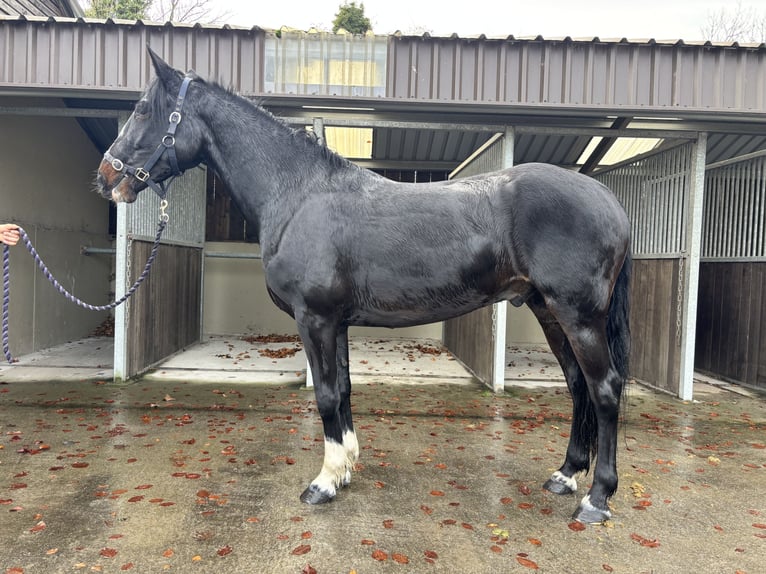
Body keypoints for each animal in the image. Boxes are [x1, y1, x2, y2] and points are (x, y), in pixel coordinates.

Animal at [96, 48, 632, 524]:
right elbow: (346, 389)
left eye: (142, 110)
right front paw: (346, 469)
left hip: (578, 316)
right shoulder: (338, 322)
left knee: (604, 389)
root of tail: (605, 195)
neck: (298, 194)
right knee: (578, 386)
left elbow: (327, 396)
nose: (105, 177)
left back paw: (596, 500)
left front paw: (323, 482)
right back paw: (565, 475)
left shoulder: (315, 319)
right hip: (548, 311)